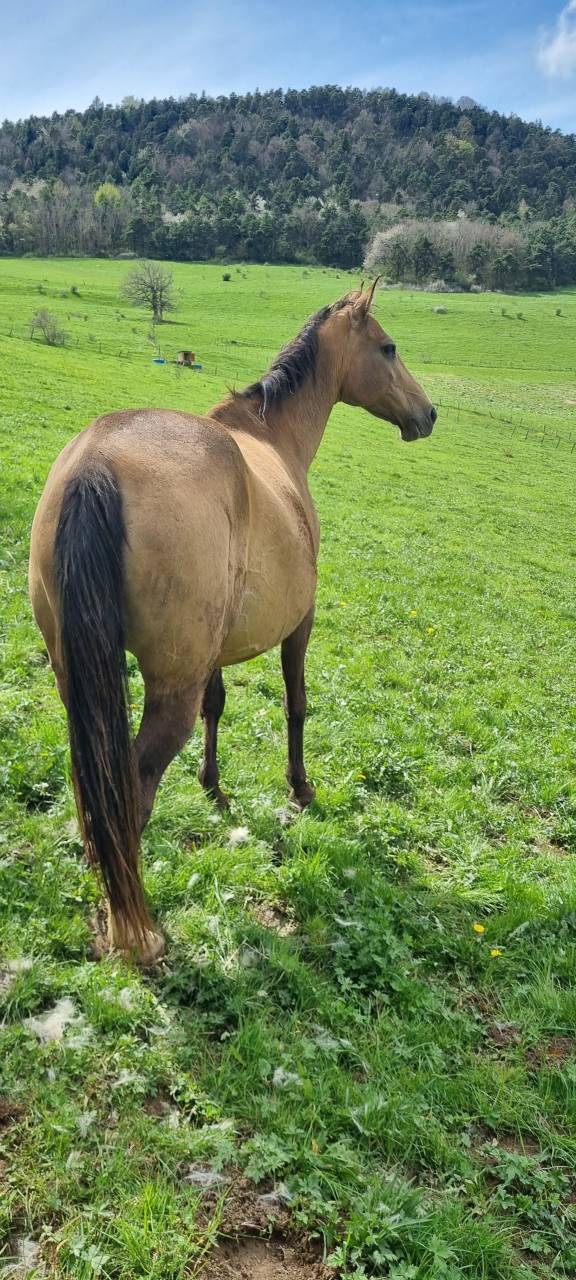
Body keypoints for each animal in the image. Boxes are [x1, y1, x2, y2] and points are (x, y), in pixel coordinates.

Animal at [29, 281, 436, 964]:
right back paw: (135, 933)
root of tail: (96, 465)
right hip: (168, 691)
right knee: (133, 789)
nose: (427, 414)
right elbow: (297, 704)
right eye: (388, 347)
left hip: (76, 682)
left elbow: (217, 708)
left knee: (95, 791)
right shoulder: (301, 622)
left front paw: (213, 789)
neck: (272, 439)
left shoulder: (214, 652)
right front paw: (300, 789)